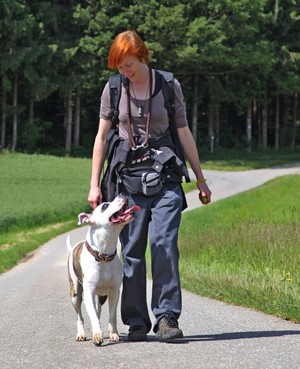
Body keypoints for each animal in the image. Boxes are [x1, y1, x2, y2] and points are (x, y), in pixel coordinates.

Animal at [67, 194, 139, 344]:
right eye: (105, 205)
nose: (122, 194)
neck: (103, 255)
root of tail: (72, 249)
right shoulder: (88, 293)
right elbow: (92, 315)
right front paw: (97, 335)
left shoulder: (114, 291)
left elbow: (112, 315)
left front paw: (113, 334)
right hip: (75, 294)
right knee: (80, 316)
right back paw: (81, 333)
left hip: (102, 295)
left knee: (98, 310)